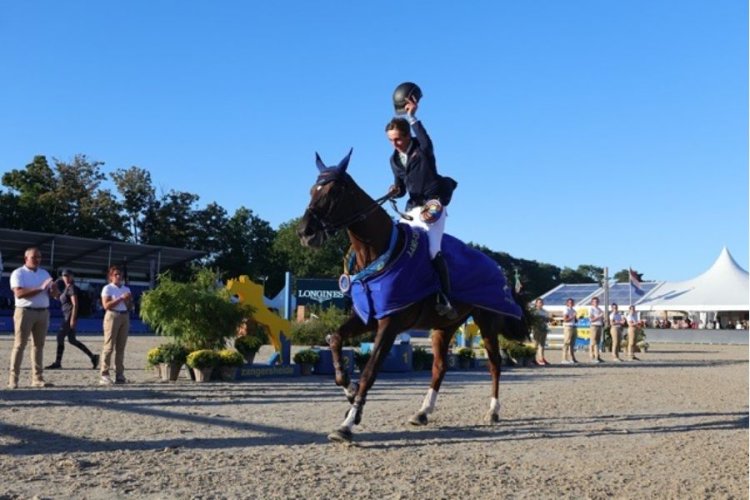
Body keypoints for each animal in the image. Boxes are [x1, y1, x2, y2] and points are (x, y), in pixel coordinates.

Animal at [297, 149, 528, 443]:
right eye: (311, 190)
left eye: (334, 191)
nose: (305, 232)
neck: (381, 252)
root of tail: (498, 266)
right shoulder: (368, 316)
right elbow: (335, 339)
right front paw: (348, 389)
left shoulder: (390, 322)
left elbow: (370, 371)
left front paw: (348, 423)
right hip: (444, 326)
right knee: (439, 366)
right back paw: (423, 411)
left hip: (486, 321)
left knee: (494, 363)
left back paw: (493, 411)